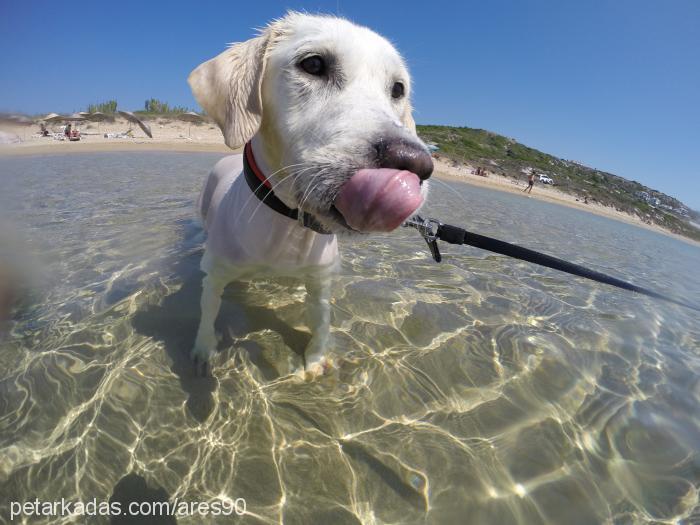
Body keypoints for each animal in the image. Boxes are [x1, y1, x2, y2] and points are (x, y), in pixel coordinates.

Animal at [189, 12, 434, 376]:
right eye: (314, 64)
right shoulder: (216, 274)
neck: (287, 225)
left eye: (398, 89)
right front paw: (203, 352)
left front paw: (315, 359)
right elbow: (207, 311)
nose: (414, 162)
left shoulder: (320, 282)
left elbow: (321, 320)